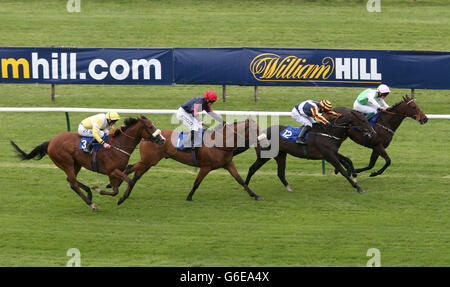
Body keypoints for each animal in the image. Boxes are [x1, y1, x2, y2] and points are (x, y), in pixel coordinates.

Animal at [10, 116, 165, 210]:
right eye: (150, 127)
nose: (163, 140)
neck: (118, 146)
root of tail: (51, 141)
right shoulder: (112, 171)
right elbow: (129, 182)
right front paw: (120, 199)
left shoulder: (113, 173)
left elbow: (115, 190)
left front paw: (100, 190)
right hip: (66, 162)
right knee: (73, 183)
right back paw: (91, 203)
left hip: (76, 164)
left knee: (71, 181)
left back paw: (90, 193)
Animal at [116, 118, 268, 204]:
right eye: (255, 130)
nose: (265, 141)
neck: (219, 143)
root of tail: (146, 137)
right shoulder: (205, 167)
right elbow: (197, 183)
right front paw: (189, 197)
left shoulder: (228, 164)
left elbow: (240, 180)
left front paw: (255, 195)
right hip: (148, 161)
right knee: (130, 168)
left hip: (149, 162)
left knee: (135, 175)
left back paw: (124, 193)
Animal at [243, 109, 376, 195]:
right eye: (363, 120)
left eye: (366, 119)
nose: (373, 132)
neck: (328, 132)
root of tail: (261, 134)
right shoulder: (329, 156)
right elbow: (343, 170)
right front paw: (357, 187)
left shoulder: (332, 153)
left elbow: (348, 160)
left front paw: (354, 175)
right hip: (265, 155)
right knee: (252, 168)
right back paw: (246, 187)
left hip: (281, 155)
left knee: (280, 173)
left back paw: (289, 188)